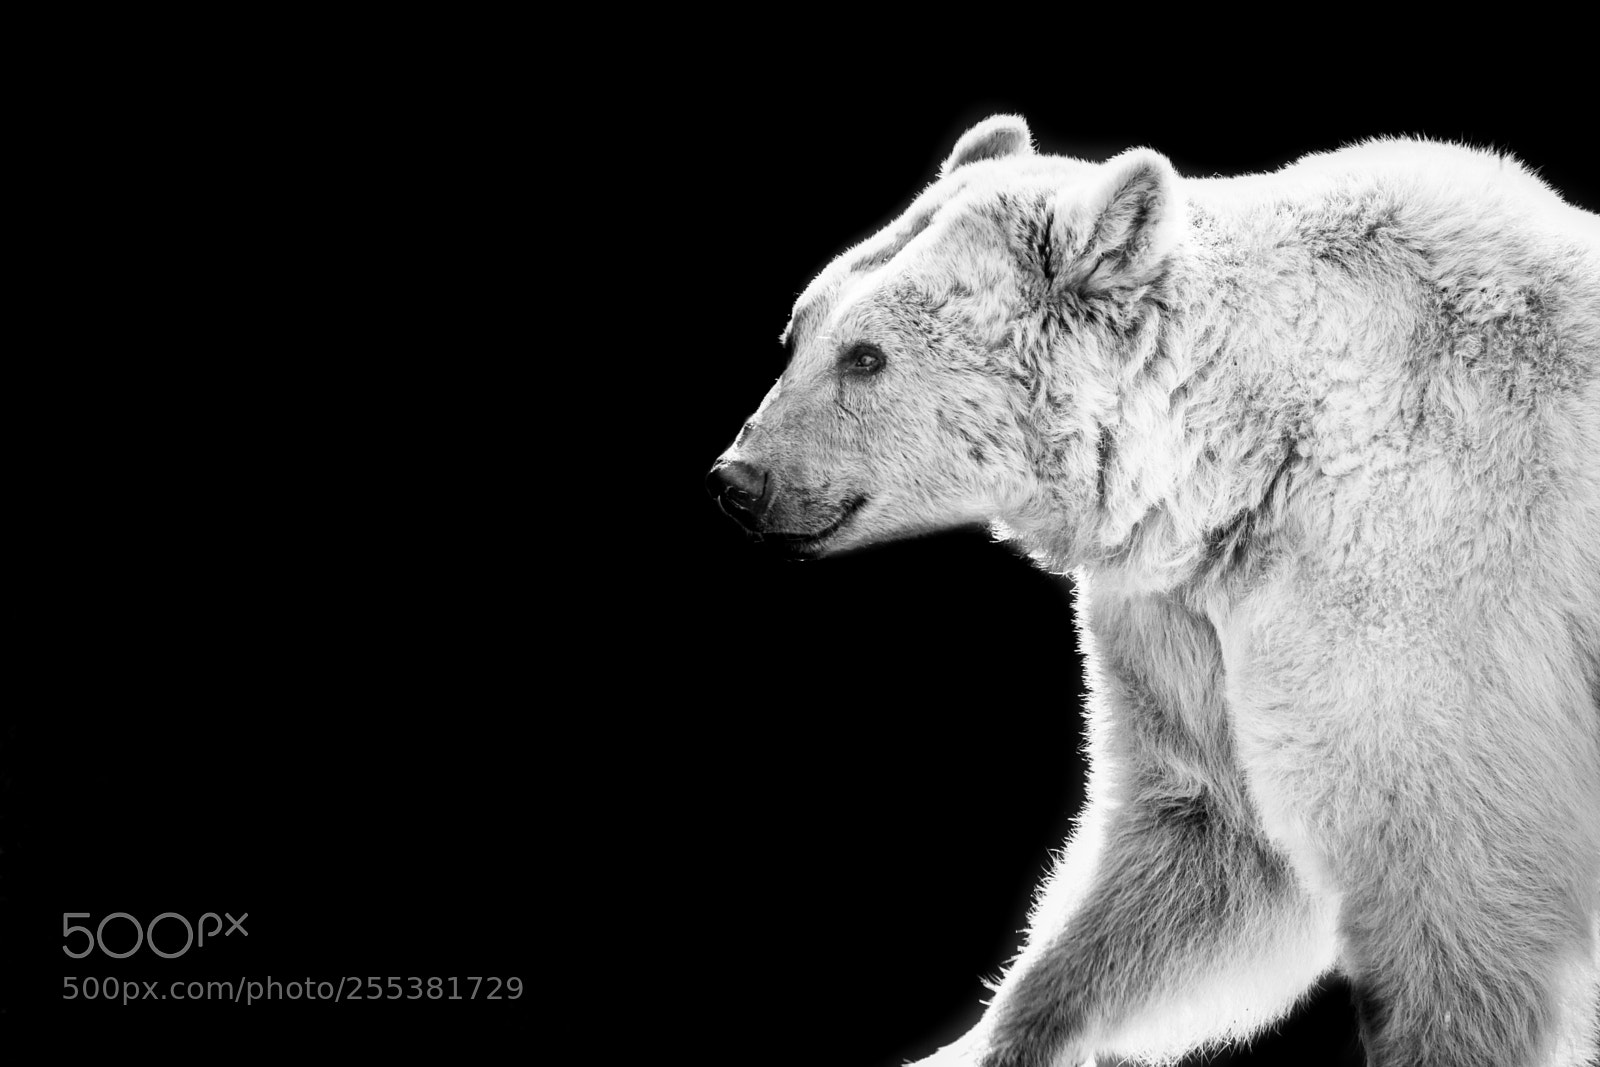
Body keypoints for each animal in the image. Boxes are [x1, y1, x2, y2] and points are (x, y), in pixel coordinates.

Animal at [705, 115, 1600, 1067]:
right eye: (797, 330)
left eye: (865, 355)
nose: (739, 479)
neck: (1245, 454)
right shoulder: (1187, 608)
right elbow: (1203, 835)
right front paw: (985, 1038)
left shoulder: (1423, 569)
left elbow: (1453, 868)